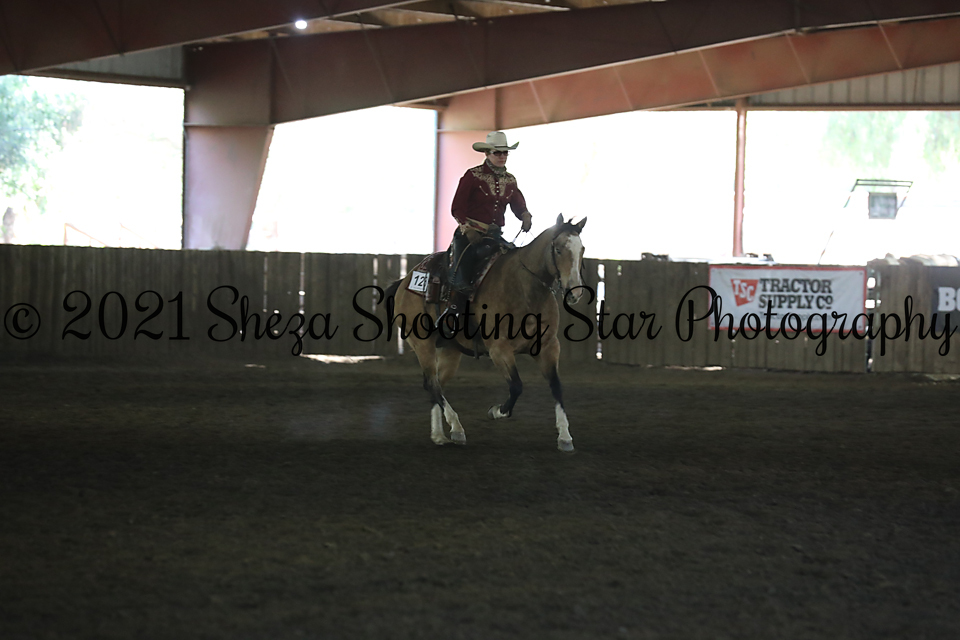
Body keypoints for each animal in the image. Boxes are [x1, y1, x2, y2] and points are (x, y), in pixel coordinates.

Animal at [384, 214, 587, 452]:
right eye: (558, 249)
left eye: (582, 249)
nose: (575, 292)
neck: (524, 288)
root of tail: (405, 281)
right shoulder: (499, 350)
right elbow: (516, 386)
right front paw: (496, 411)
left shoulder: (548, 346)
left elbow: (556, 387)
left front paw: (565, 436)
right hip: (422, 343)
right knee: (432, 384)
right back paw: (456, 427)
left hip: (450, 351)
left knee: (435, 385)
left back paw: (439, 435)